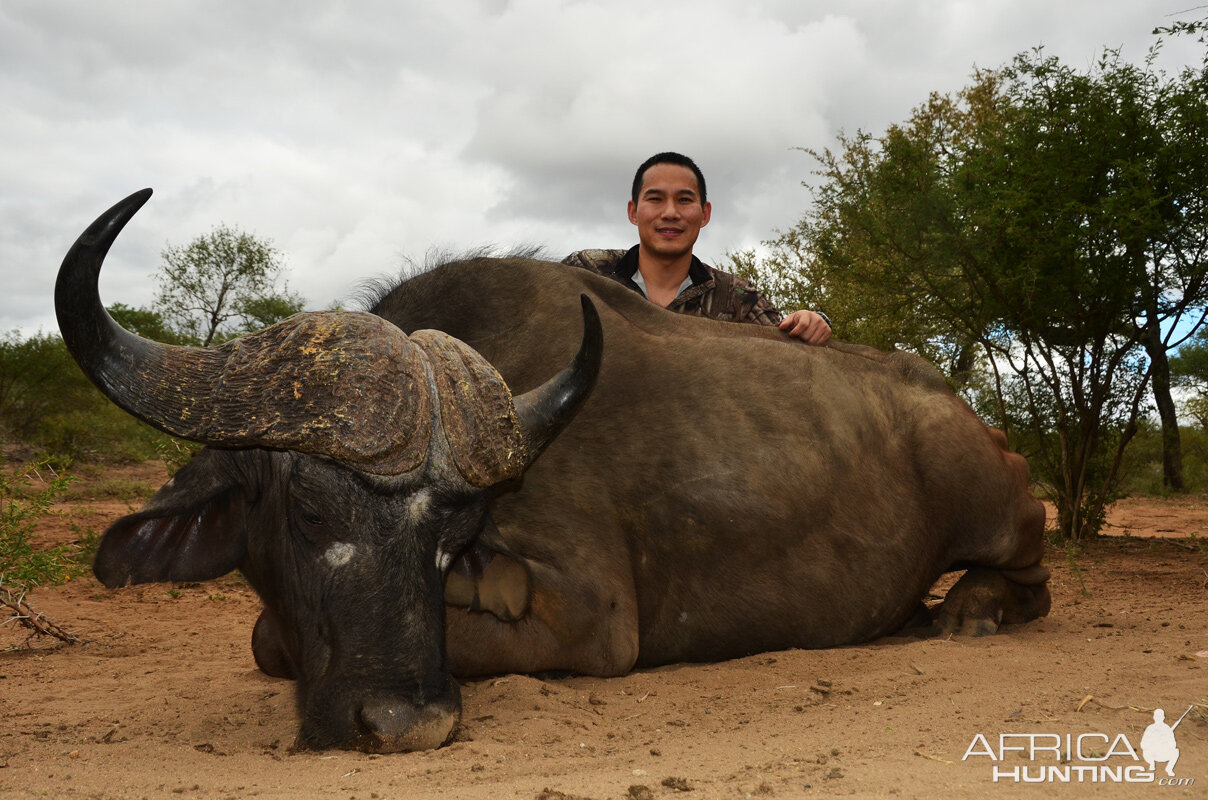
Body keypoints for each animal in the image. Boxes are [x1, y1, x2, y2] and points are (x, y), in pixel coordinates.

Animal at [58, 190, 1048, 754]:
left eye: (451, 529)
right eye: (305, 509)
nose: (406, 725)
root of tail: (968, 417)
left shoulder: (591, 619)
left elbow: (276, 637)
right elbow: (272, 635)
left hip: (1003, 515)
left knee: (1030, 580)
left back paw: (969, 610)